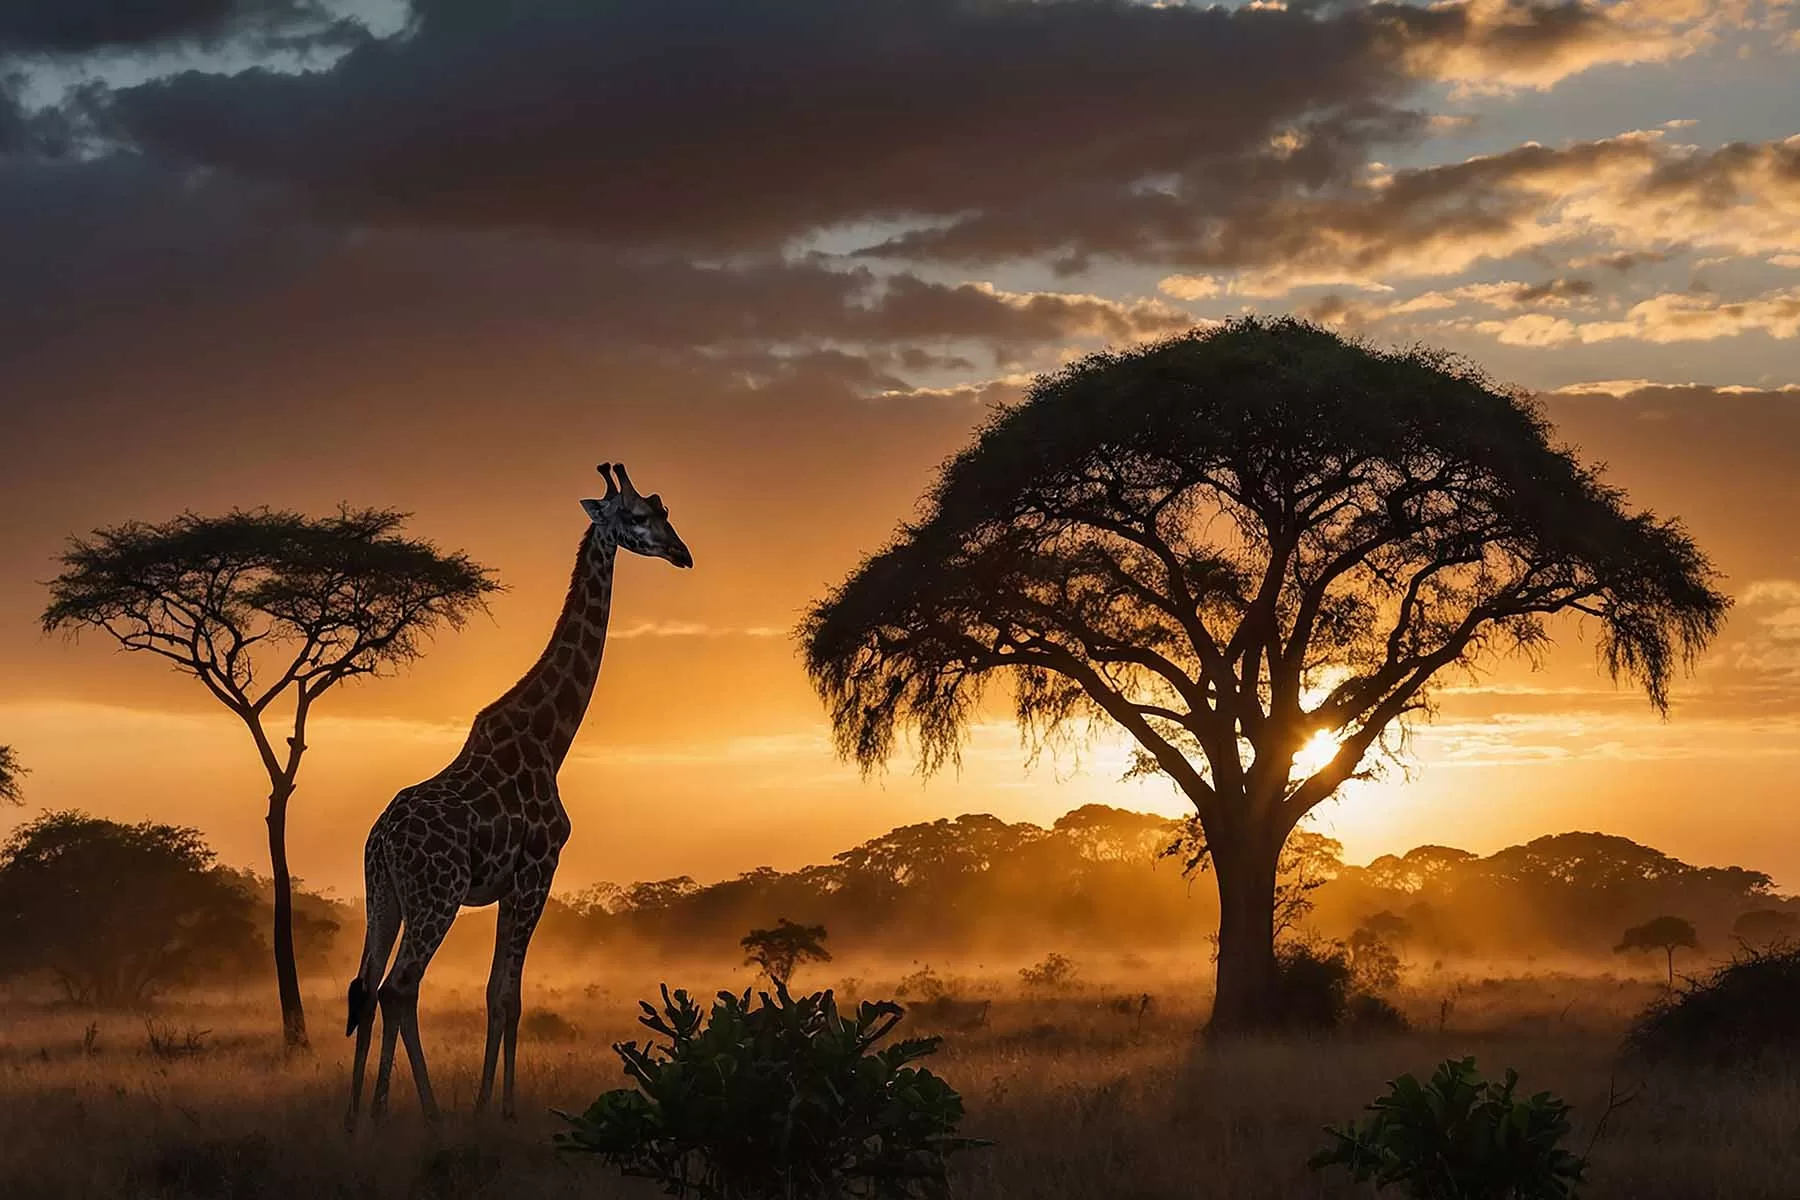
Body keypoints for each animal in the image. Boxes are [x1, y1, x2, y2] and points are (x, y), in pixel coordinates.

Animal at [347, 460, 691, 1129]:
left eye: (665, 510)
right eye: (640, 515)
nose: (683, 554)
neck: (549, 738)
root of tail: (380, 840)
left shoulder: (513, 883)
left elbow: (495, 993)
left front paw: (490, 1105)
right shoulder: (537, 871)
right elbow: (509, 996)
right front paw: (496, 1111)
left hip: (384, 895)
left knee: (366, 987)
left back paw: (358, 1121)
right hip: (437, 895)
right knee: (400, 987)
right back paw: (426, 1117)